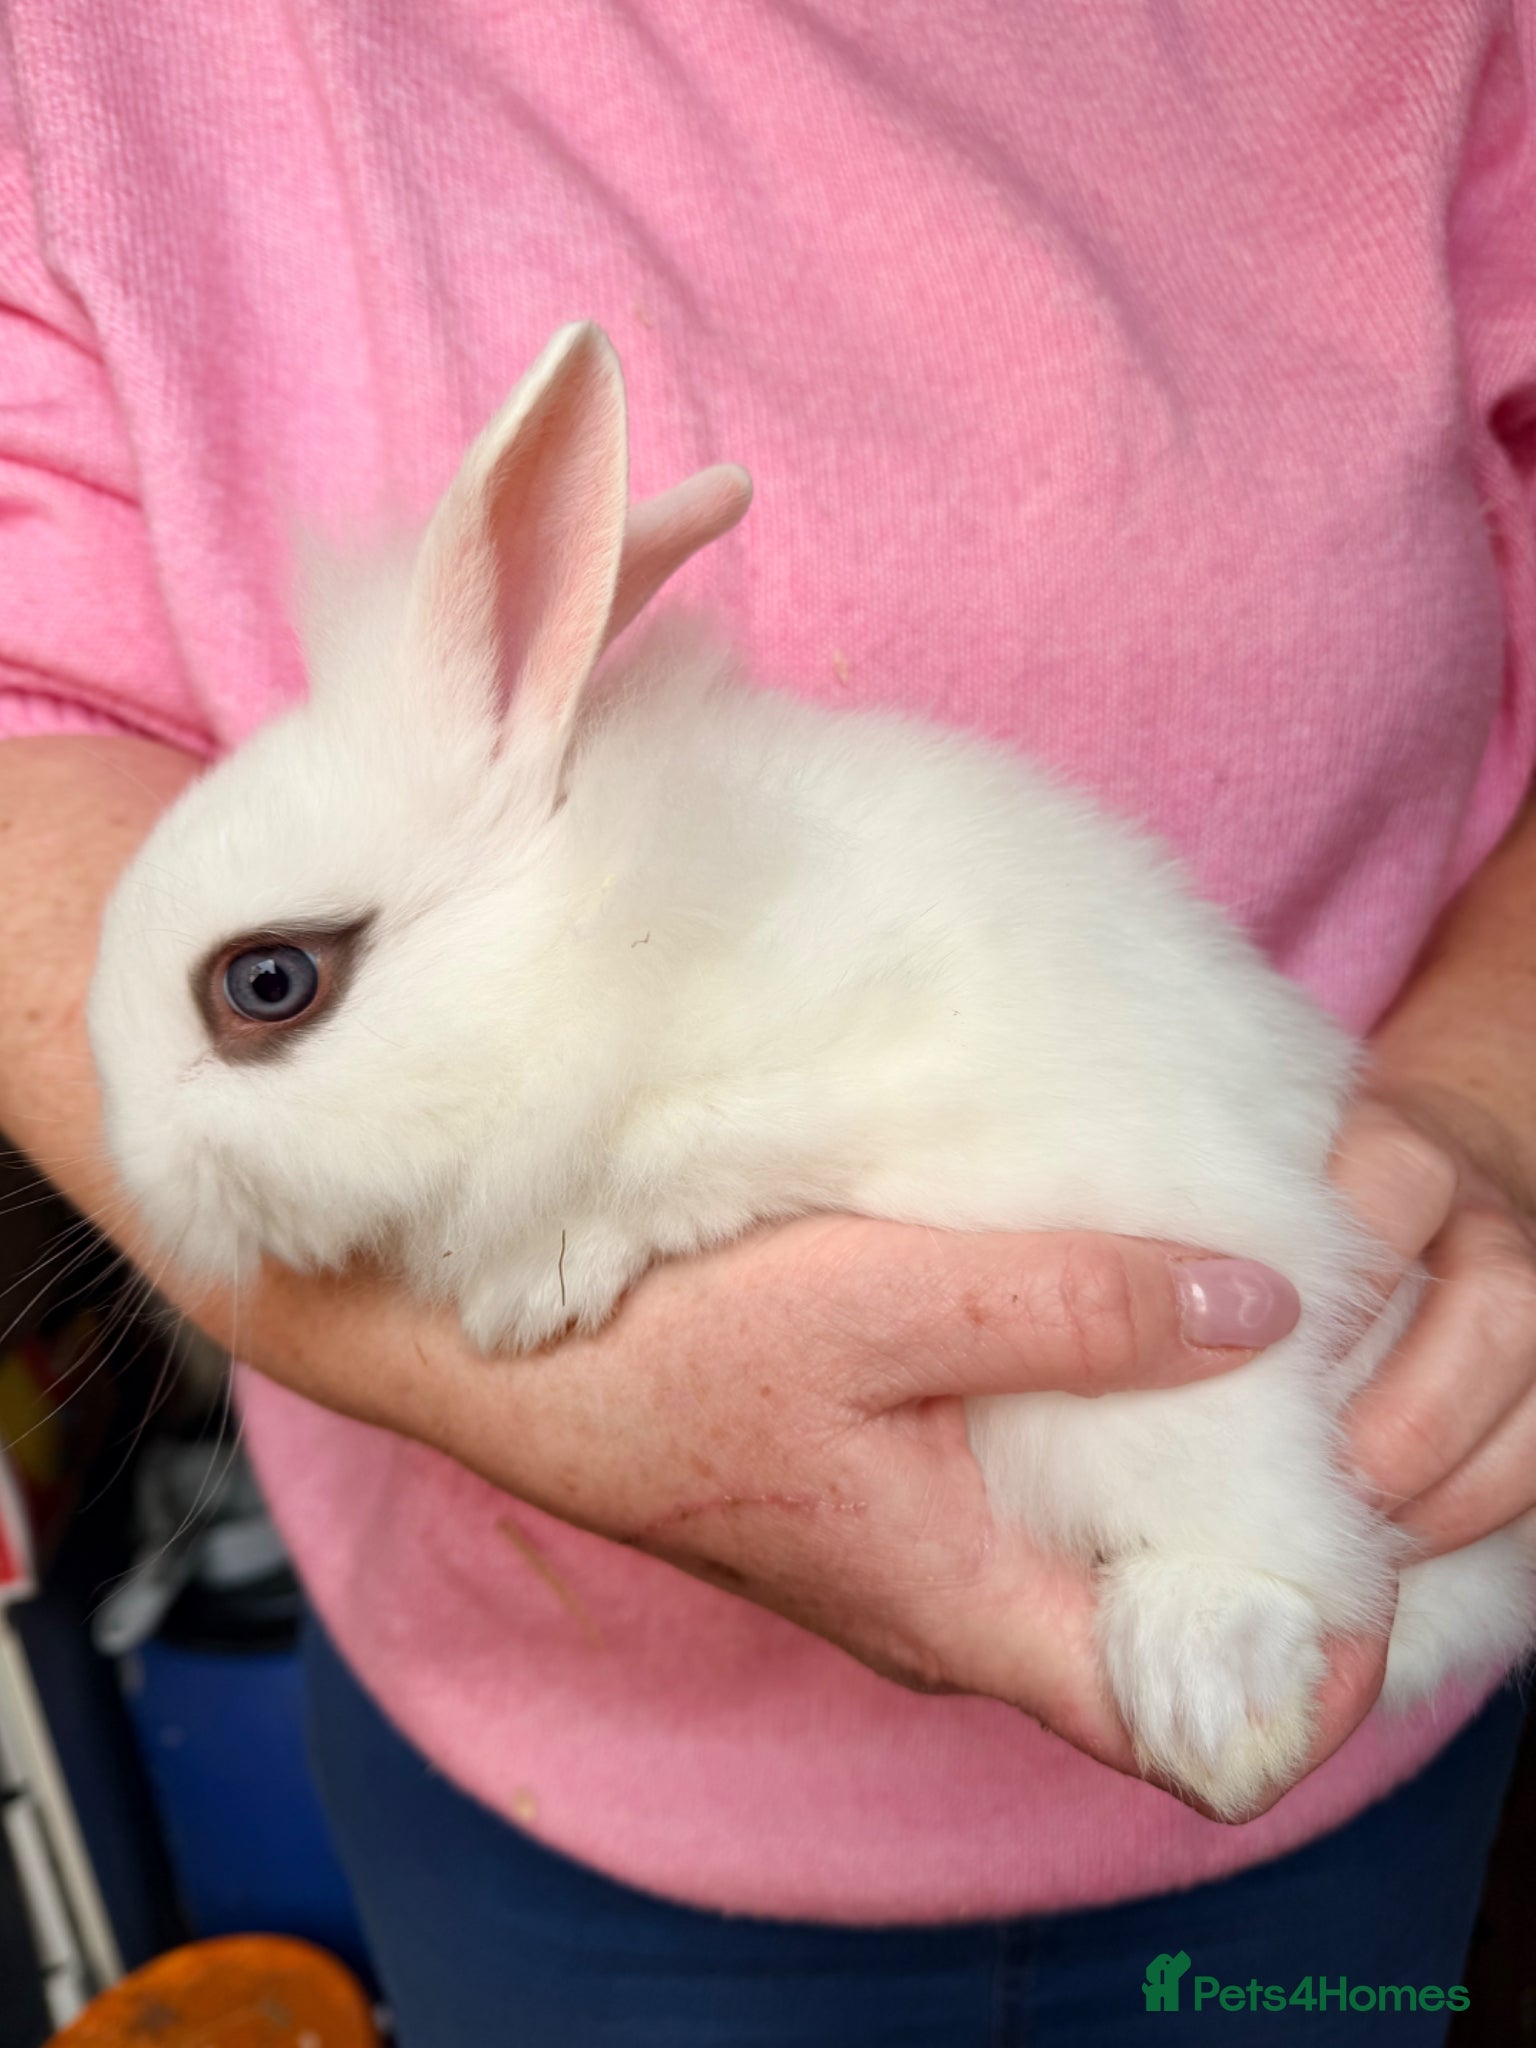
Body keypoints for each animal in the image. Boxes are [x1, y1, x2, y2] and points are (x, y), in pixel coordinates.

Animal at [88, 322, 1536, 1817]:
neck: (582, 932)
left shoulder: (840, 1070)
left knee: (1278, 1540)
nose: (134, 1166)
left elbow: (673, 1162)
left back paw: (1213, 1704)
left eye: (268, 983)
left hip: (1173, 1390)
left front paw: (531, 1289)